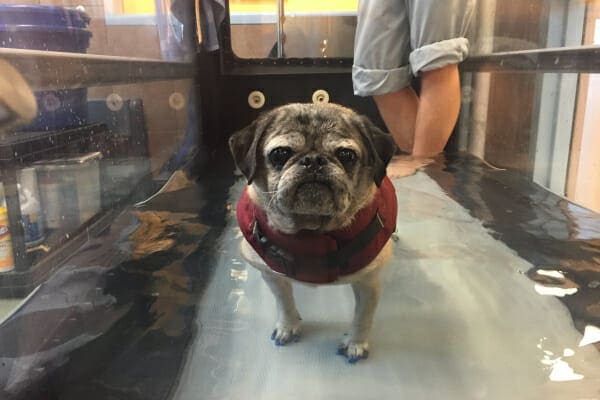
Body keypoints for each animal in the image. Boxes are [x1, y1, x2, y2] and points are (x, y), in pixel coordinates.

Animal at [230, 102, 398, 362]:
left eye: (346, 156)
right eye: (280, 154)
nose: (314, 160)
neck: (311, 231)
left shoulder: (368, 284)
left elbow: (362, 317)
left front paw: (355, 343)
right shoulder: (272, 276)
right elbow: (284, 303)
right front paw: (288, 326)